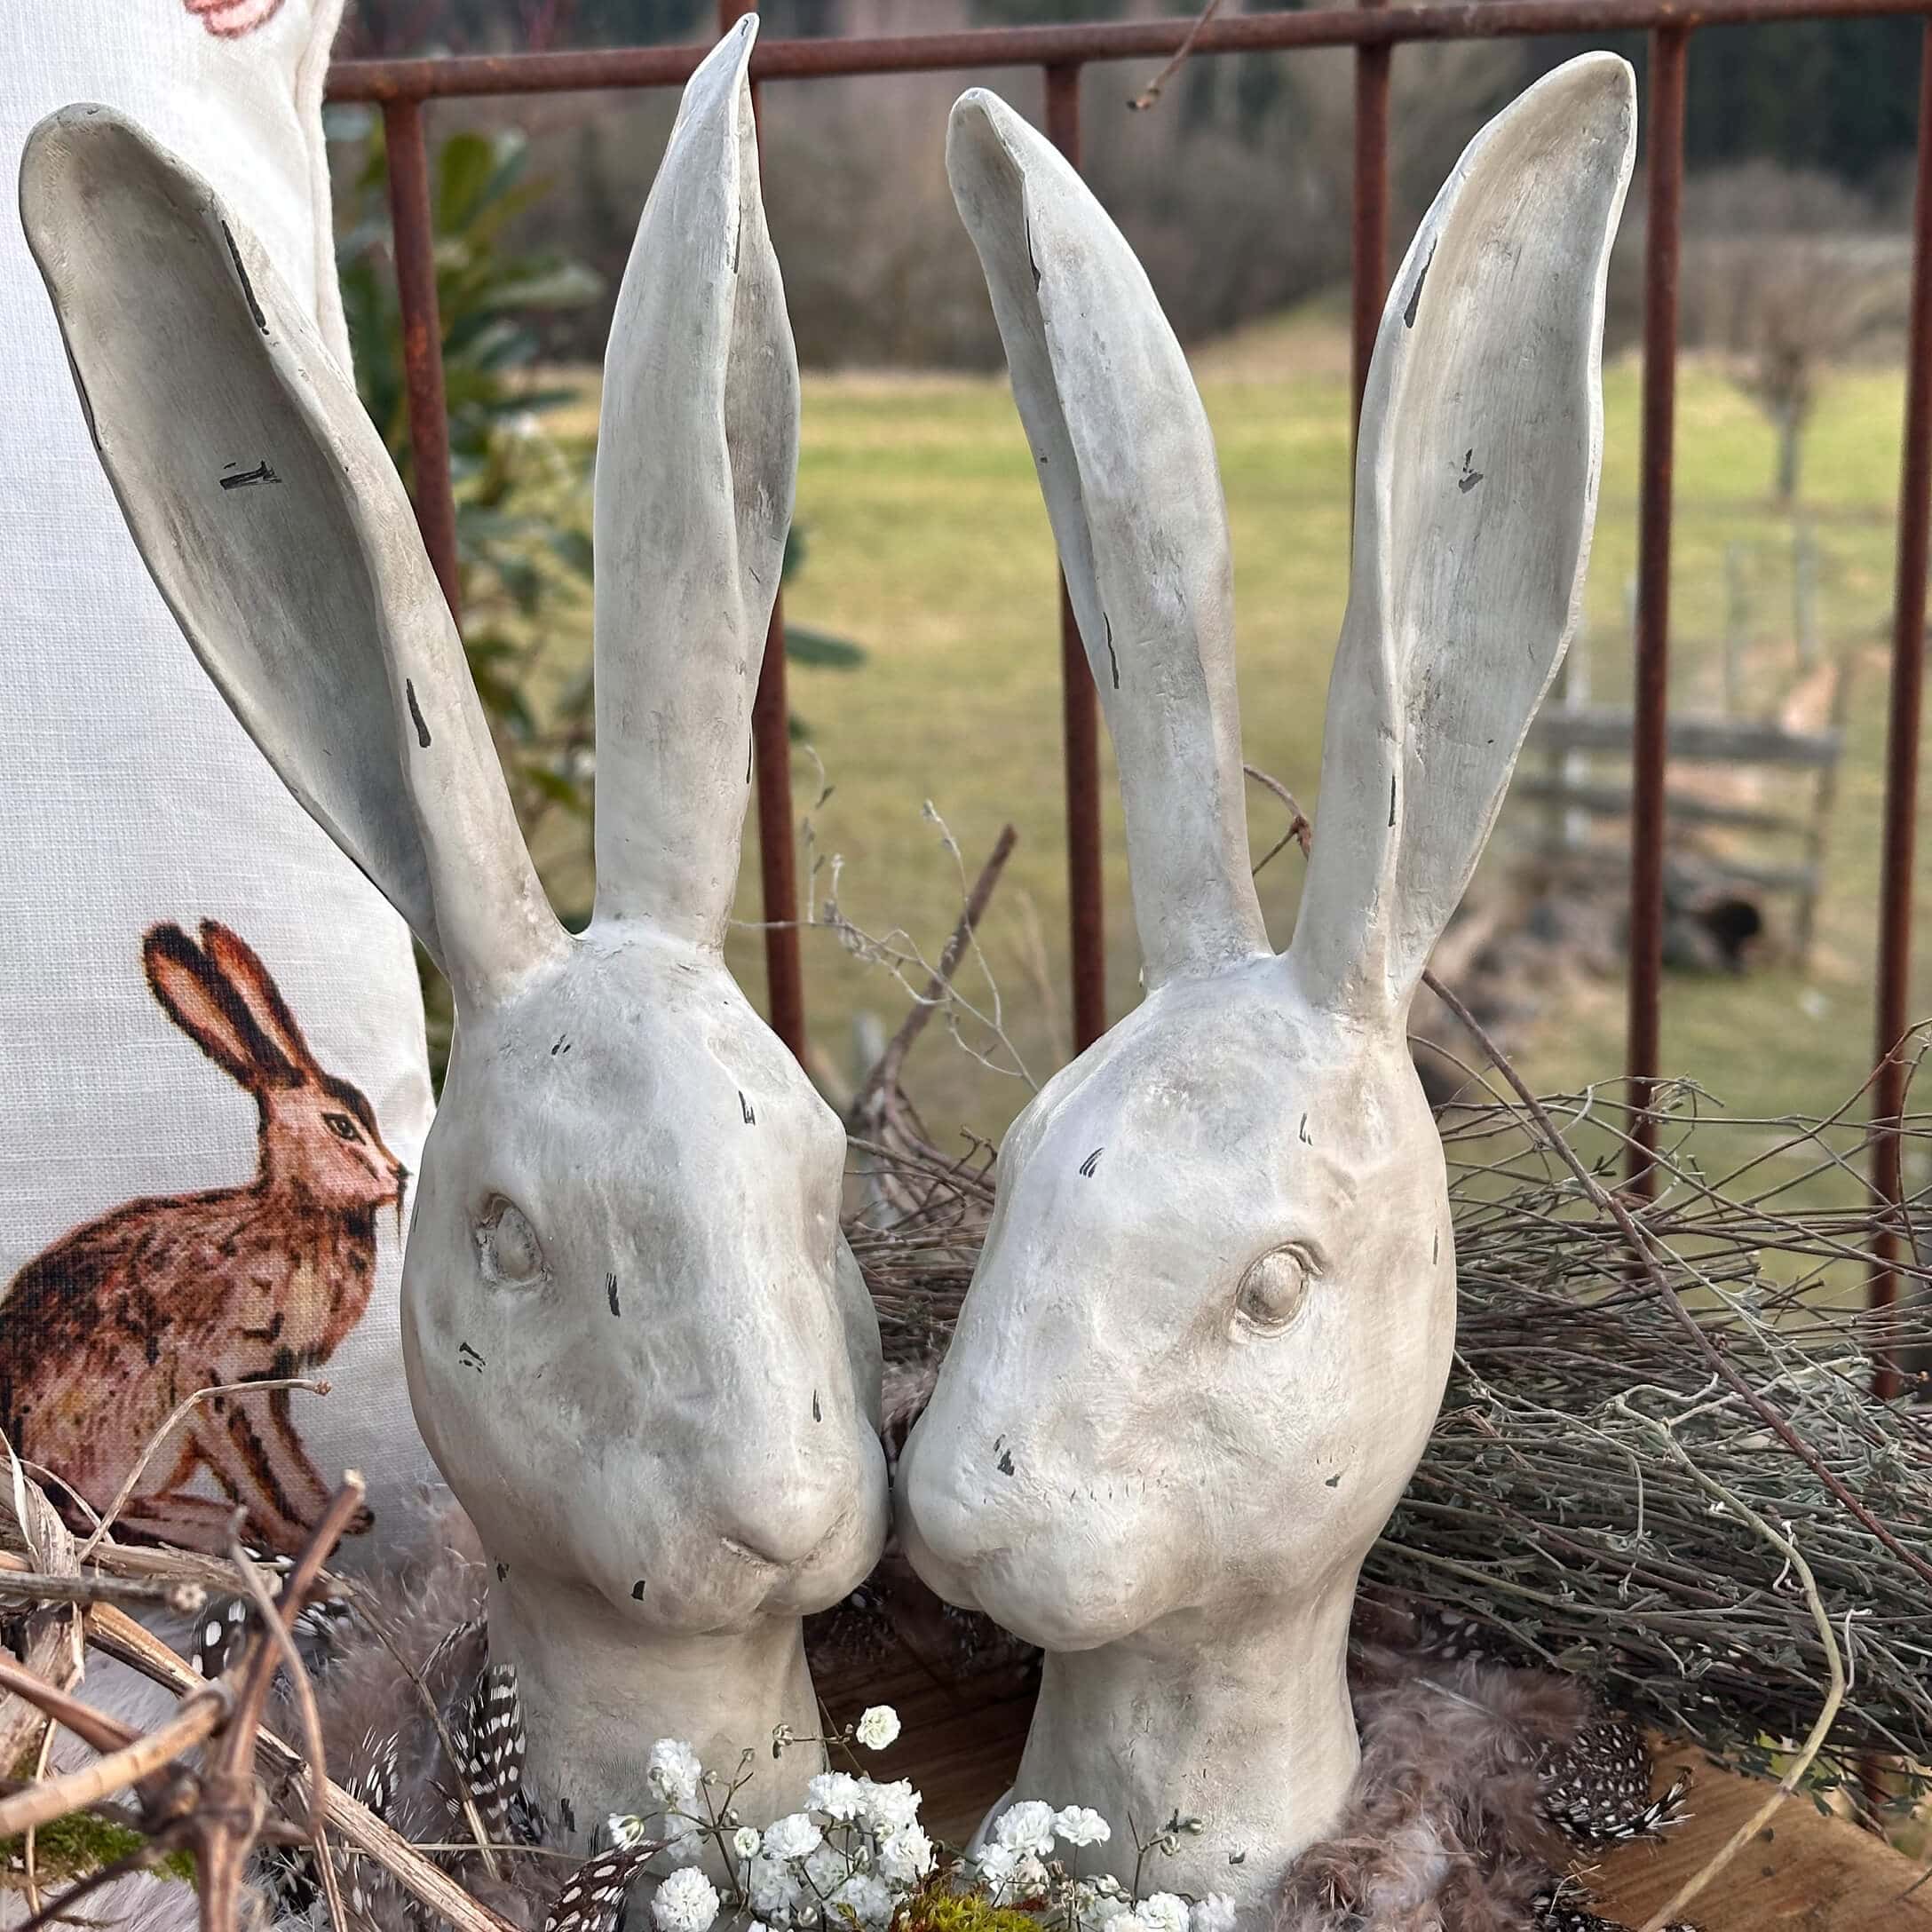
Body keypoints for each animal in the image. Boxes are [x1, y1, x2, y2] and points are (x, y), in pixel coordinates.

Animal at [0, 918, 403, 1557]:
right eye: (342, 1125)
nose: (398, 1175)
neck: (294, 1212)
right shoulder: (212, 1380)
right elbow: (250, 1469)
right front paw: (292, 1534)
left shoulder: (266, 1383)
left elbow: (281, 1455)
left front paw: (331, 1518)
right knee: (91, 1513)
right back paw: (213, 1529)